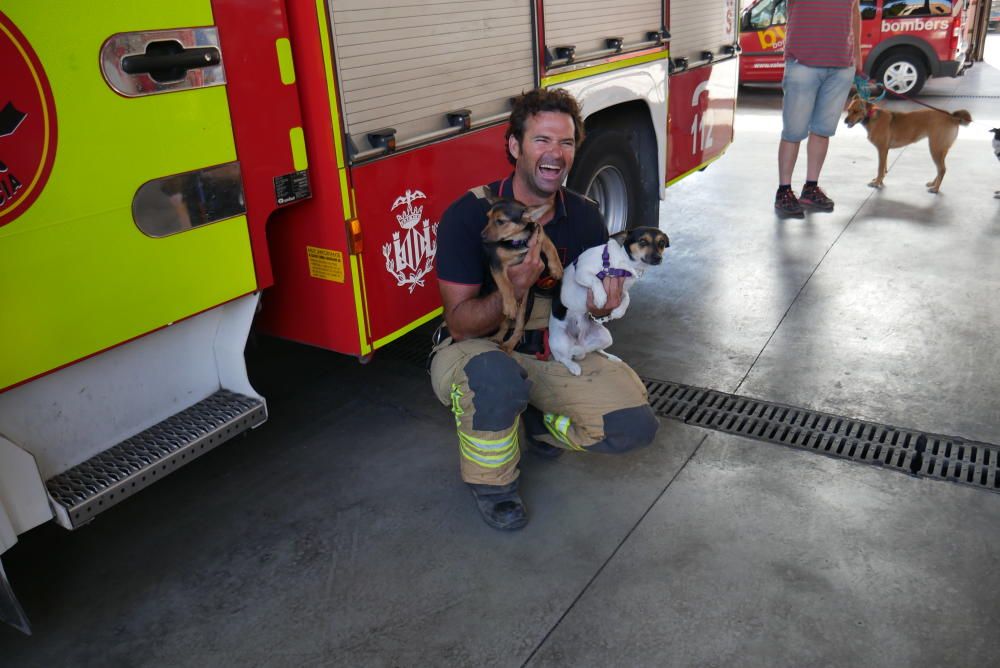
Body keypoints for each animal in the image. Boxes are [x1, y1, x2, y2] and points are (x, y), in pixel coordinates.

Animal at [482, 188, 568, 354]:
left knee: (519, 327)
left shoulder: (539, 233)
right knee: (505, 324)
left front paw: (556, 268)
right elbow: (506, 284)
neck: (518, 241)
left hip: (526, 306)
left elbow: (550, 246)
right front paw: (509, 303)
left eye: (500, 221)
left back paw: (509, 345)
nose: (481, 236)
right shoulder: (496, 263)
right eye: (488, 218)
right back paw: (498, 338)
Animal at [548, 227, 672, 376]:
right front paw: (601, 297)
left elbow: (627, 298)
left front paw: (618, 312)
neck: (624, 264)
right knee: (563, 358)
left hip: (605, 337)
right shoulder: (582, 272)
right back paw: (573, 367)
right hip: (560, 340)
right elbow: (595, 280)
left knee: (595, 350)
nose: (658, 258)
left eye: (662, 243)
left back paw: (611, 357)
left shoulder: (621, 289)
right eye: (642, 241)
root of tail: (580, 343)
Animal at [840, 96, 972, 196]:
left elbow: (880, 168)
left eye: (856, 111)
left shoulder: (882, 149)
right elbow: (883, 168)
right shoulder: (885, 150)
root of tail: (952, 117)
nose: (845, 121)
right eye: (848, 110)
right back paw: (933, 184)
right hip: (941, 150)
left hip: (935, 149)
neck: (871, 116)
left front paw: (876, 183)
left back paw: (935, 189)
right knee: (940, 170)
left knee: (942, 169)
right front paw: (880, 180)